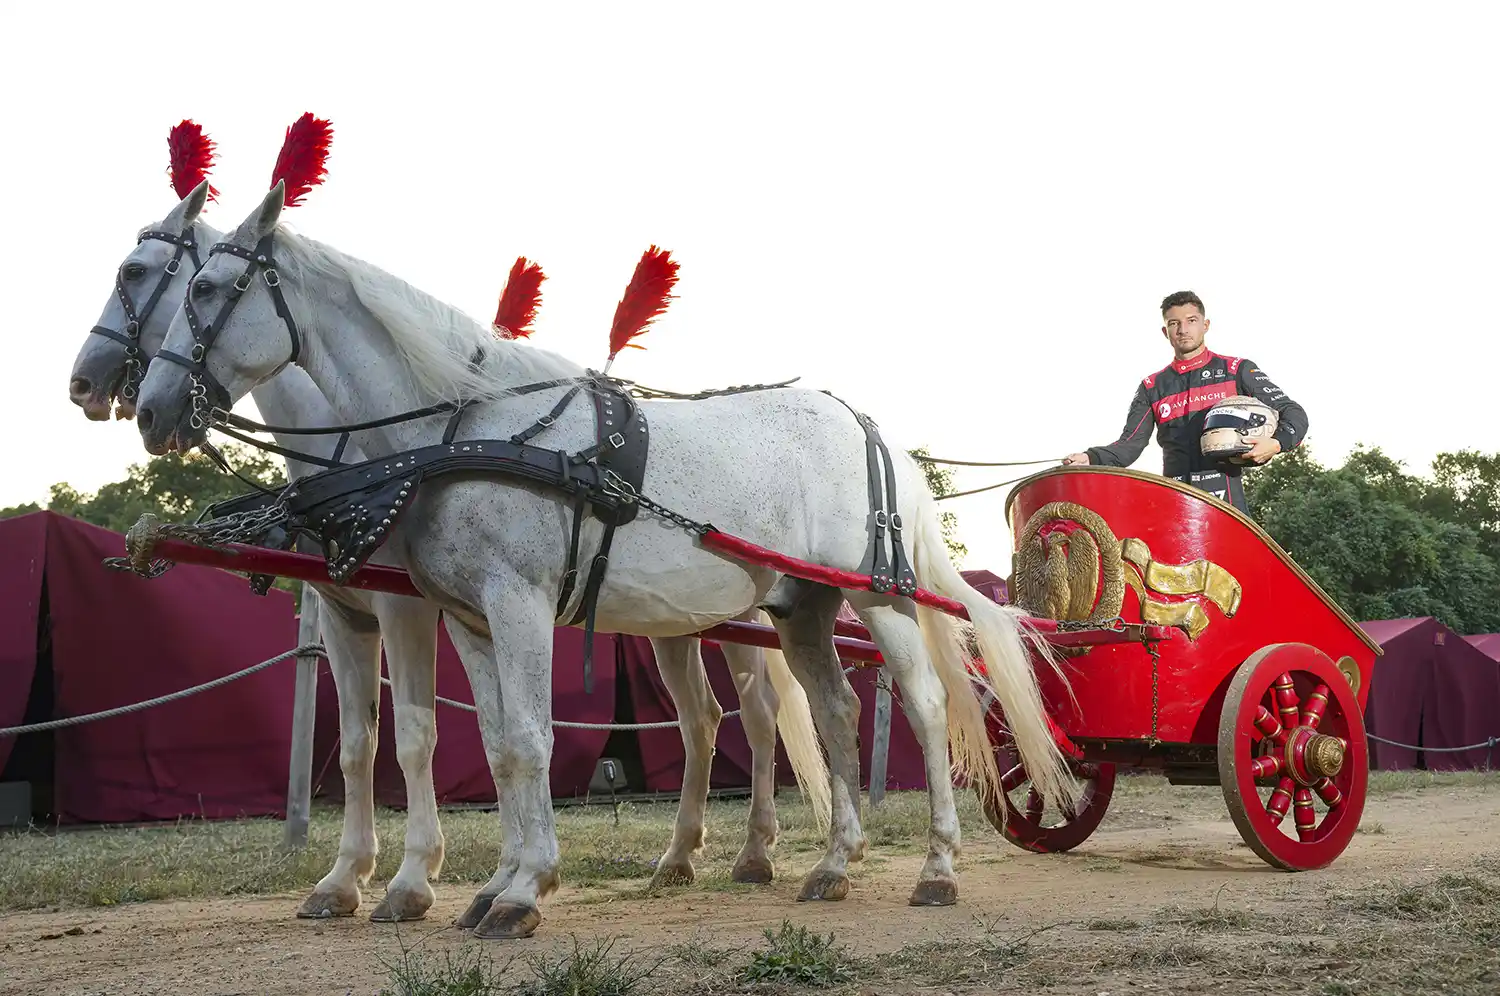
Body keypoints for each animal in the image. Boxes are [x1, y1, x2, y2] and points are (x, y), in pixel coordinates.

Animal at [135, 180, 1080, 942]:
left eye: (207, 288)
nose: (148, 410)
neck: (460, 431)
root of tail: (866, 425)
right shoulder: (471, 618)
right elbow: (498, 746)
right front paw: (494, 887)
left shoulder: (513, 602)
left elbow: (528, 739)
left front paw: (521, 892)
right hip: (801, 608)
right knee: (837, 710)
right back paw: (834, 864)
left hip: (879, 600)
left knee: (922, 705)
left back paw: (937, 868)